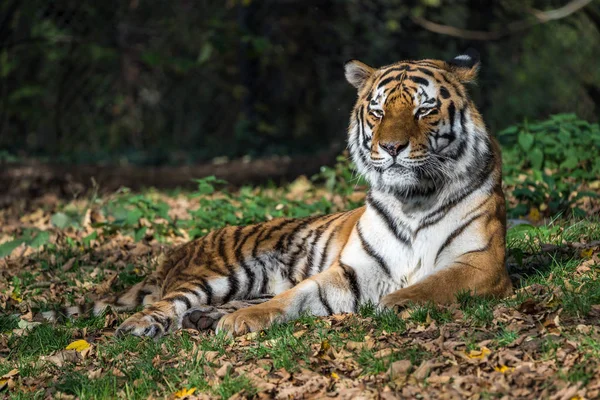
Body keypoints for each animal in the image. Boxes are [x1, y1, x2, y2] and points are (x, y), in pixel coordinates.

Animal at [43, 50, 510, 338]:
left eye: (424, 109)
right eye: (378, 112)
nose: (391, 147)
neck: (413, 199)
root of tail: (177, 253)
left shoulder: (480, 262)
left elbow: (431, 284)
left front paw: (394, 302)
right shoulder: (354, 268)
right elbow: (299, 294)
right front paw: (244, 321)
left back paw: (206, 318)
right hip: (222, 274)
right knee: (168, 303)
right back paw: (143, 325)